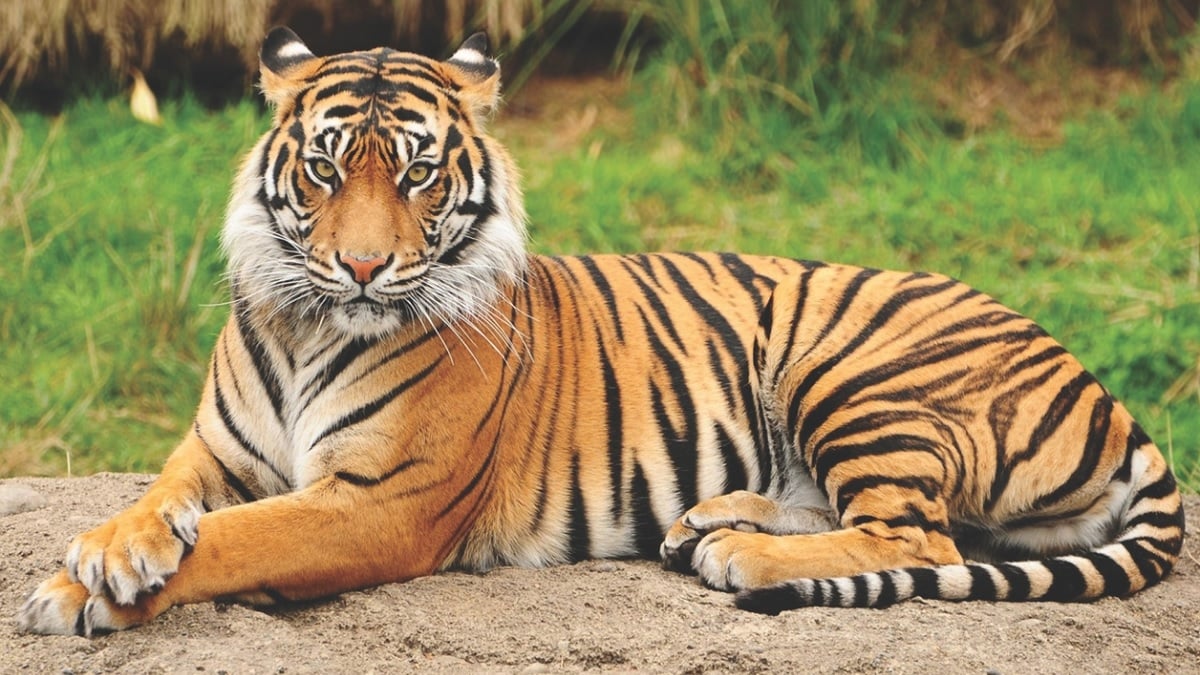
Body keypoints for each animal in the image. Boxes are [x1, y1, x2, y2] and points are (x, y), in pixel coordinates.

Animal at [16, 27, 1180, 634]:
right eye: (324, 168)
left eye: (419, 174)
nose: (362, 267)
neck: (310, 326)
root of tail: (1107, 393)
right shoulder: (214, 452)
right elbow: (160, 502)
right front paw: (109, 551)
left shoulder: (381, 502)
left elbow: (242, 538)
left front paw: (78, 591)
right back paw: (712, 521)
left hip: (852, 365)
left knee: (920, 535)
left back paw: (743, 558)